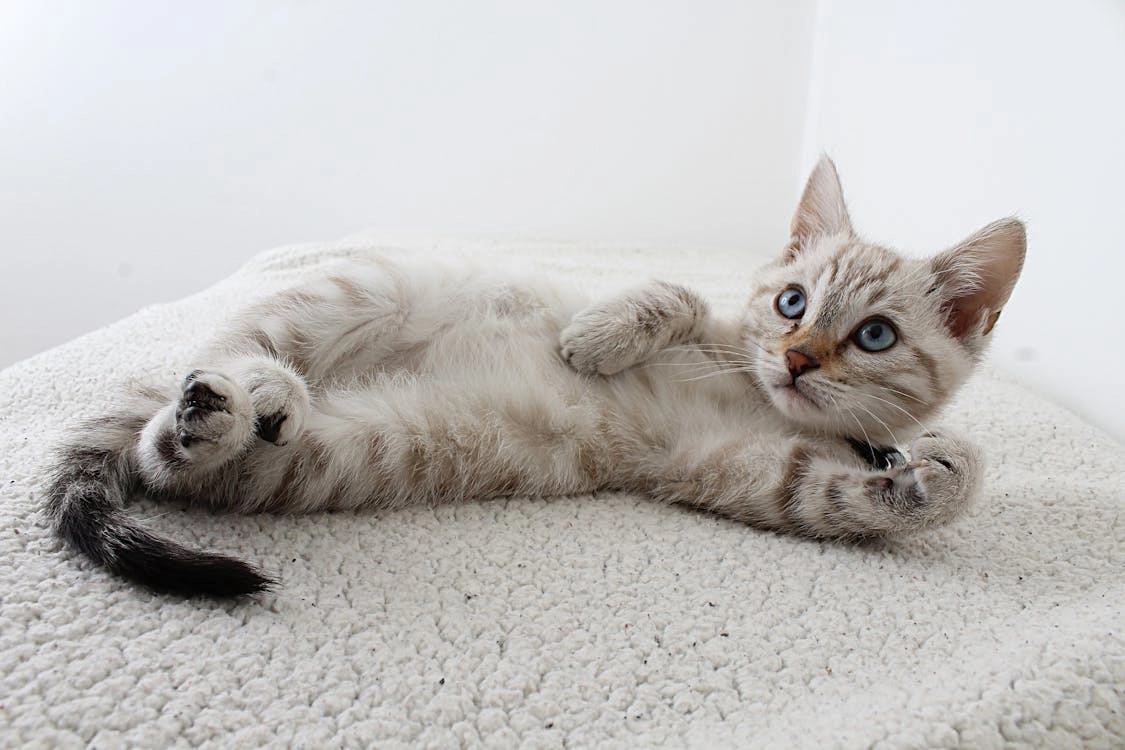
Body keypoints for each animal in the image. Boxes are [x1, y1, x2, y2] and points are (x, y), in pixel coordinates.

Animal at [43, 158, 1030, 598]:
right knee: (230, 348)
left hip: (325, 457)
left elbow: (833, 493)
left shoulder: (738, 472)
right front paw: (597, 337)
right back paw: (257, 385)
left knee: (171, 454)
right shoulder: (719, 331)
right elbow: (674, 298)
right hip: (350, 293)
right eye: (791, 303)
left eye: (873, 336)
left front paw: (935, 473)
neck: (751, 396)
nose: (793, 360)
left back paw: (226, 418)